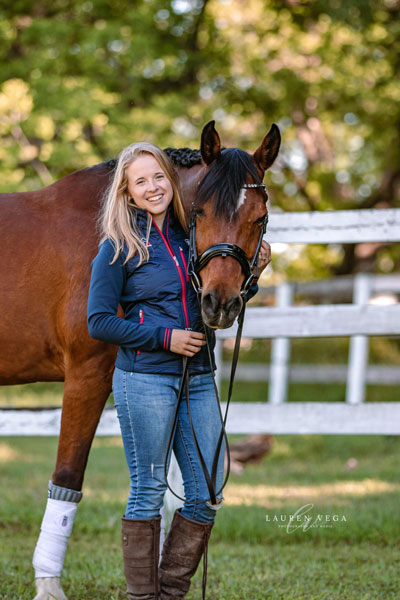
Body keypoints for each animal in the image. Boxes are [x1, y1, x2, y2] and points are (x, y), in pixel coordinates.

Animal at [0, 119, 280, 596]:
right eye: (200, 213)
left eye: (258, 218)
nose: (219, 304)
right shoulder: (88, 374)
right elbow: (68, 478)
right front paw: (48, 584)